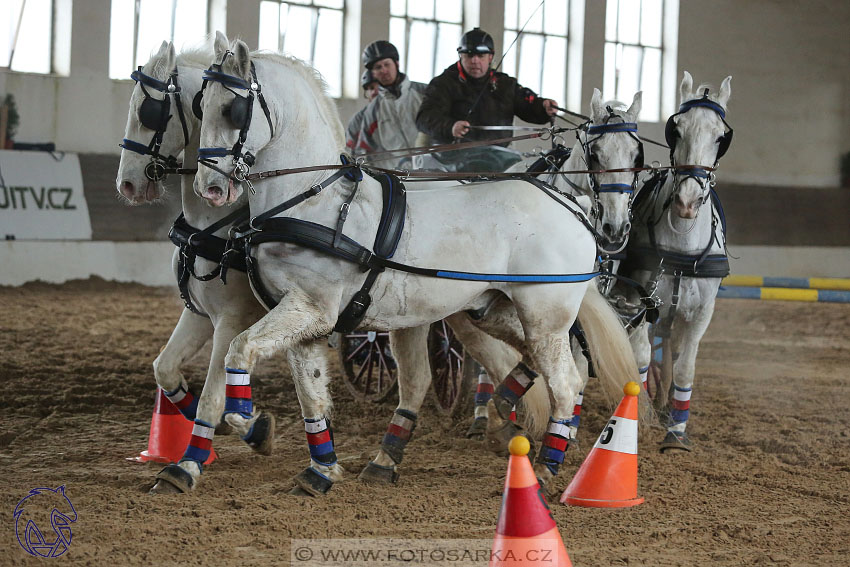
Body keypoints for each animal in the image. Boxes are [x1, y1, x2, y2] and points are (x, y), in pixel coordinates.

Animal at [114, 42, 274, 492]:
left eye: (149, 111)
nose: (126, 185)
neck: (215, 225)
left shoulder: (234, 319)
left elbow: (215, 393)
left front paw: (189, 461)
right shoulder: (200, 313)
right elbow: (165, 369)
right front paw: (241, 428)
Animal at [186, 36, 632, 496]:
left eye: (233, 109)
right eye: (202, 104)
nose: (210, 188)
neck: (312, 201)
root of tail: (572, 208)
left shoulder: (311, 308)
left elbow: (238, 351)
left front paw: (253, 425)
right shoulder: (305, 321)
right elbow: (310, 392)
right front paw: (320, 470)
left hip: (545, 316)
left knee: (566, 383)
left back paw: (544, 469)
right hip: (493, 309)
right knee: (532, 361)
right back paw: (499, 413)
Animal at [620, 71, 732, 452]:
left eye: (721, 136)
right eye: (676, 129)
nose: (686, 201)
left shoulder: (702, 312)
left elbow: (686, 367)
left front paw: (676, 432)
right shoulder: (638, 301)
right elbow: (640, 358)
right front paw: (639, 420)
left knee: (671, 346)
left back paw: (667, 403)